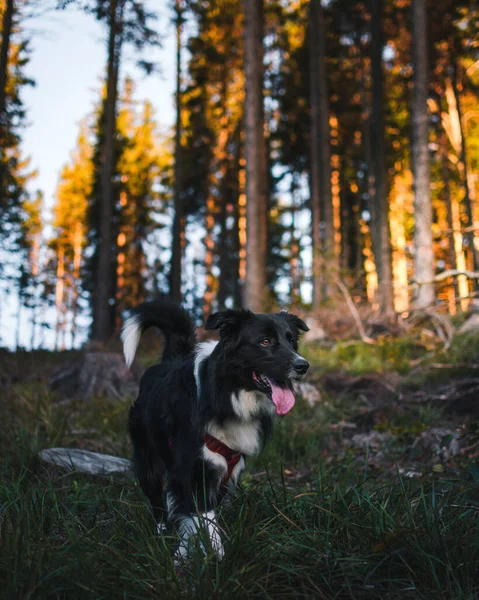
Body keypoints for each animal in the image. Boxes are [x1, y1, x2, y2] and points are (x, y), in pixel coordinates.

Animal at [121, 302, 312, 560]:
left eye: (291, 341)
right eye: (265, 341)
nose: (303, 365)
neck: (229, 394)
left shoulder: (226, 472)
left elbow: (196, 518)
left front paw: (189, 552)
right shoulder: (194, 470)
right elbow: (206, 522)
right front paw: (215, 561)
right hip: (148, 459)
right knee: (158, 501)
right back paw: (161, 535)